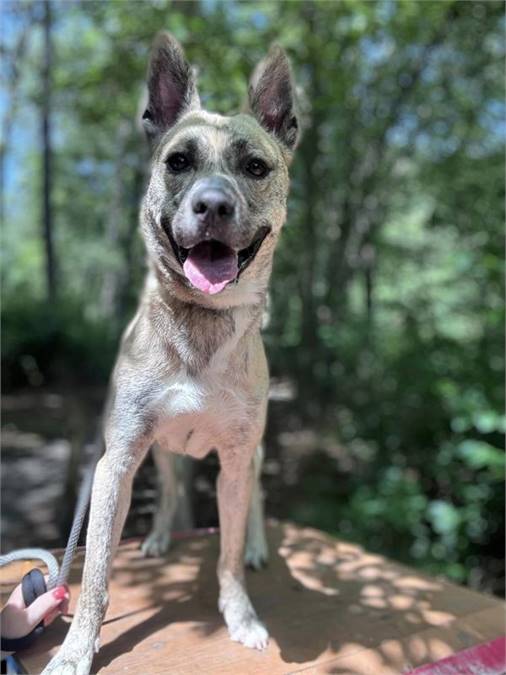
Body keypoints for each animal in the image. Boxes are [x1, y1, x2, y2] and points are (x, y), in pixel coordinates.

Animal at [43, 33, 298, 675]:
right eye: (178, 161)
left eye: (255, 167)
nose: (212, 206)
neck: (200, 326)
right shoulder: (117, 461)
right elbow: (97, 571)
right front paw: (76, 647)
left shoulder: (237, 457)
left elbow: (226, 552)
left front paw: (241, 614)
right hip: (159, 453)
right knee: (173, 489)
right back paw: (159, 537)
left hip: (251, 456)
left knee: (255, 503)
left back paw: (257, 545)